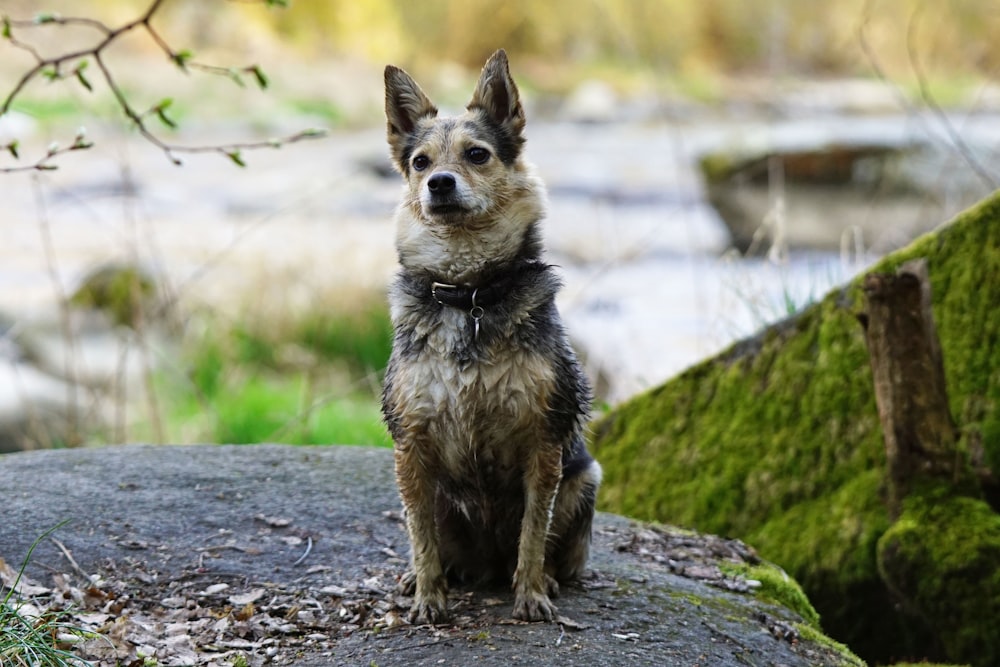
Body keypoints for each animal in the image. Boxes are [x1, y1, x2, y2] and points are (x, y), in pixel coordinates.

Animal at [380, 48, 600, 628]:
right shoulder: (411, 446)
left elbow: (533, 535)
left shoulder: (543, 444)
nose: (439, 183)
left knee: (552, 550)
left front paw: (532, 595)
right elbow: (421, 536)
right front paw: (428, 597)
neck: (469, 294)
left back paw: (548, 578)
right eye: (420, 163)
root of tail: (485, 566)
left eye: (476, 155)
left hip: (584, 477)